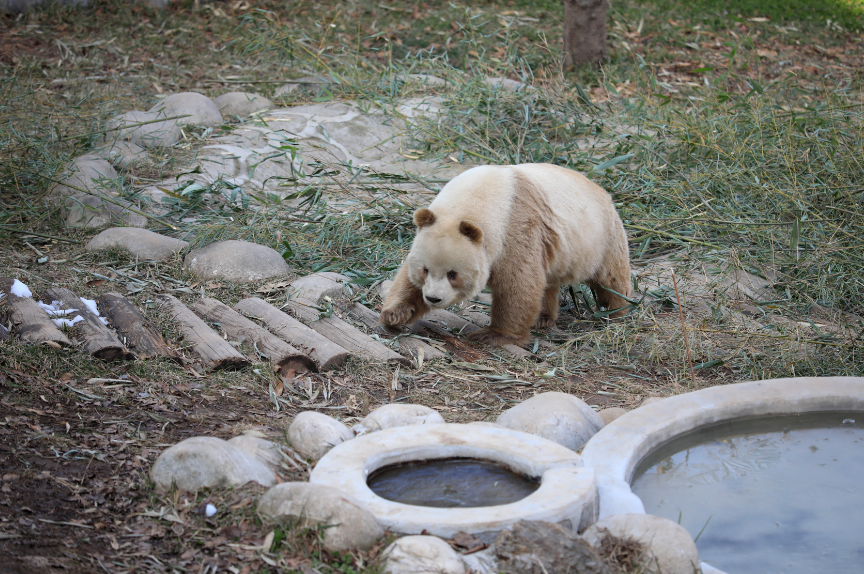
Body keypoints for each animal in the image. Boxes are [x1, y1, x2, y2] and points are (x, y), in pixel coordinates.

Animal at [378, 164, 628, 348]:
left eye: (452, 274)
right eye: (425, 270)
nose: (433, 298)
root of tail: (601, 189)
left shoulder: (515, 227)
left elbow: (517, 284)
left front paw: (493, 335)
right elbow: (407, 281)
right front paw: (395, 314)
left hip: (603, 236)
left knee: (611, 279)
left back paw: (616, 312)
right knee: (547, 282)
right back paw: (542, 318)